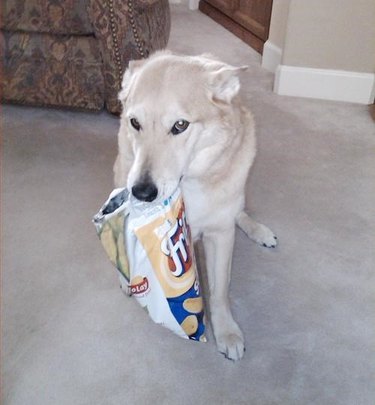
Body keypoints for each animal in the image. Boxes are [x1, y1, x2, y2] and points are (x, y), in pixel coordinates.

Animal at [113, 51, 278, 360]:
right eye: (134, 123)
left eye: (180, 125)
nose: (141, 192)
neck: (188, 184)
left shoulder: (221, 235)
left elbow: (220, 290)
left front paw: (226, 331)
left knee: (239, 213)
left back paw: (259, 230)